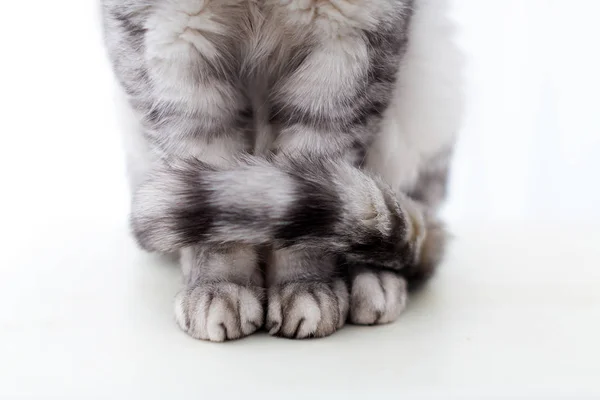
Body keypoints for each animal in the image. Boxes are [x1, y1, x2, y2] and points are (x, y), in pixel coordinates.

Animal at [101, 0, 464, 342]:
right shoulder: (173, 36)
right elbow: (224, 208)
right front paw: (220, 286)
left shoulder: (347, 39)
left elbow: (305, 205)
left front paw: (305, 284)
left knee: (387, 218)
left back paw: (373, 279)